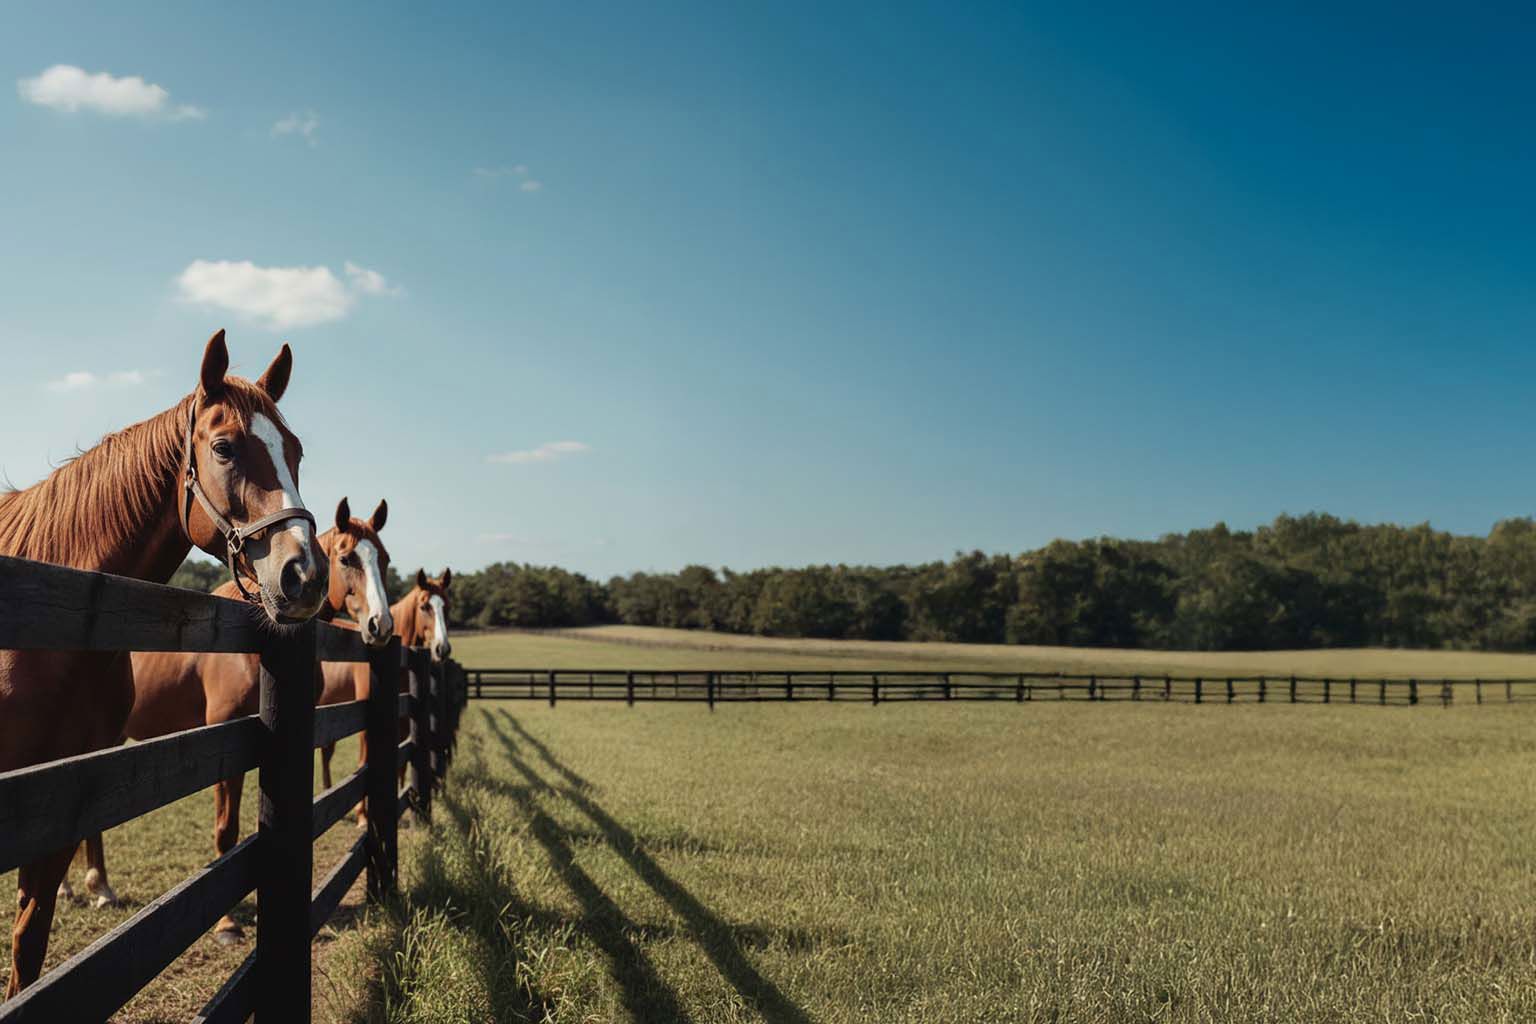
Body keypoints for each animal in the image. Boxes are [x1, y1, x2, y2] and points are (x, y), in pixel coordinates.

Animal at [65, 498, 394, 942]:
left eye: (385, 559)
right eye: (347, 558)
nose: (382, 625)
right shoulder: (225, 743)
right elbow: (227, 832)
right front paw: (226, 924)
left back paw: (97, 886)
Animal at [318, 568, 452, 829]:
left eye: (447, 606)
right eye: (424, 606)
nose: (442, 649)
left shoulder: (402, 719)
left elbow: (401, 761)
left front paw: (402, 795)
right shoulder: (364, 720)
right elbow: (363, 763)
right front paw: (363, 815)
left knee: (326, 753)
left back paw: (328, 791)